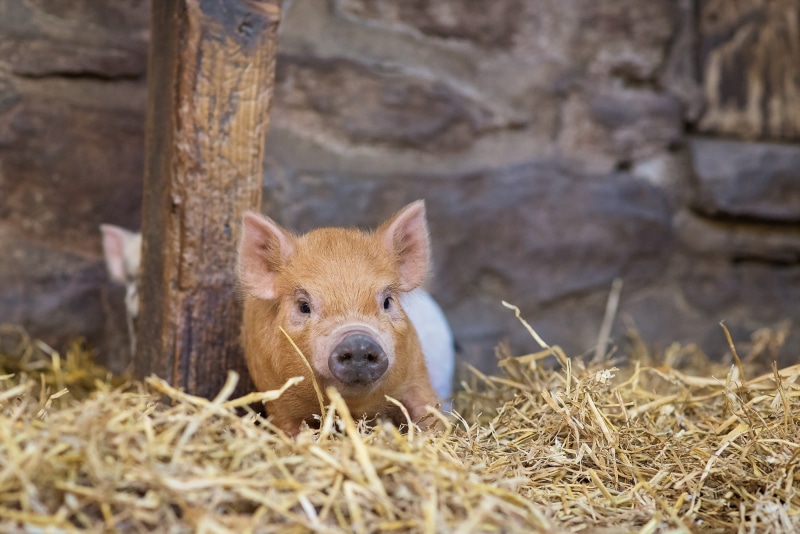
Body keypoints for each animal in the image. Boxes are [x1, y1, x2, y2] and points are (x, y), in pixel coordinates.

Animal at [238, 200, 445, 435]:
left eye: (387, 301)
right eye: (303, 306)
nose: (358, 341)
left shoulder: (416, 372)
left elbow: (428, 413)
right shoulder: (277, 399)